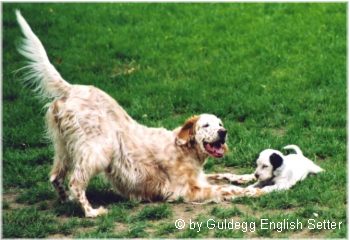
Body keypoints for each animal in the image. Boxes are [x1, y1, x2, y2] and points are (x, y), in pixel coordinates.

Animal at [15, 11, 260, 218]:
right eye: (206, 126)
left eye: (220, 123)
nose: (223, 132)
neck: (185, 150)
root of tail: (71, 88)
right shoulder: (187, 190)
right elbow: (226, 188)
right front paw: (257, 191)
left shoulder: (201, 178)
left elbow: (224, 175)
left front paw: (248, 177)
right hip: (98, 150)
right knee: (75, 182)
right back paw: (91, 212)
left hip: (64, 148)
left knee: (55, 177)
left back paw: (66, 201)